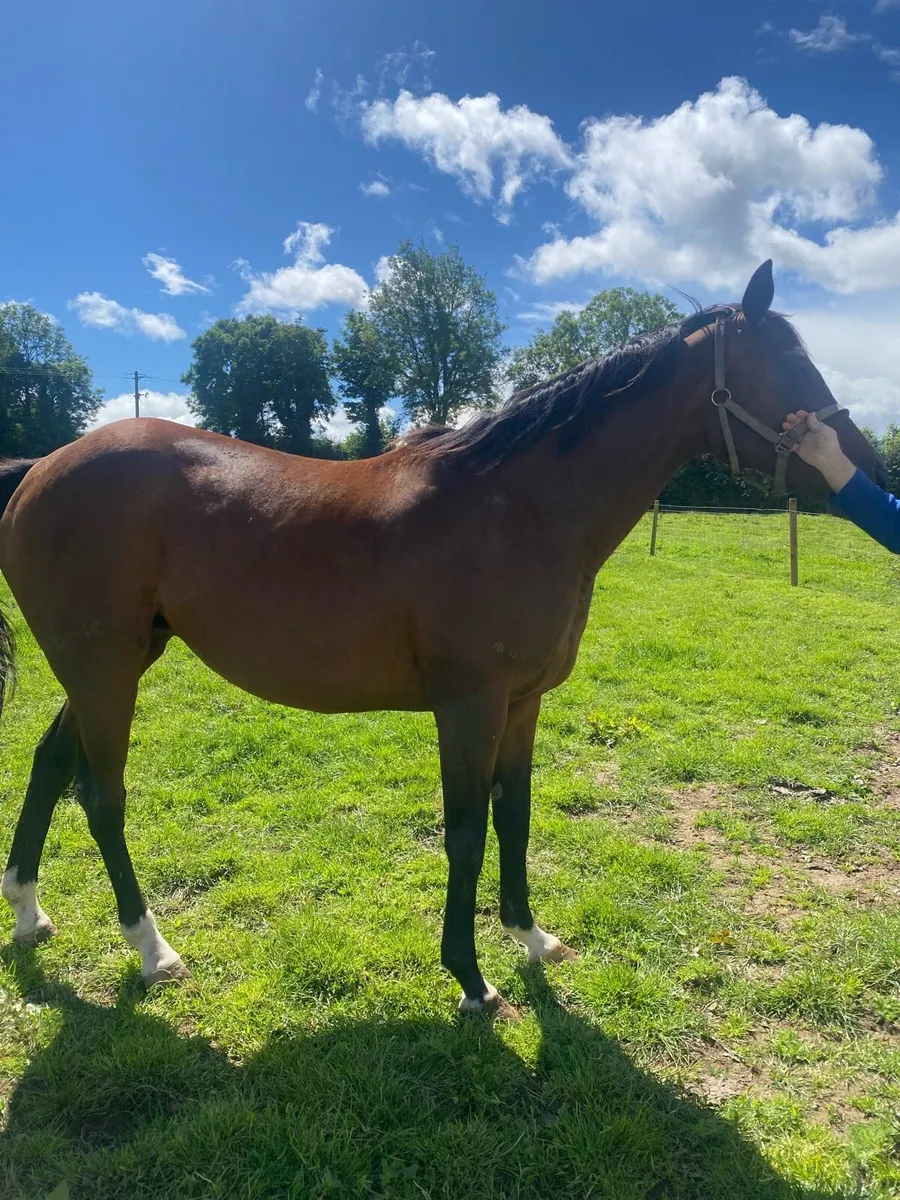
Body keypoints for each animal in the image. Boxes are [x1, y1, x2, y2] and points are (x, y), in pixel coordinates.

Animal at [0, 261, 885, 1019]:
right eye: (789, 367)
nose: (868, 466)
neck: (516, 508)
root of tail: (41, 467)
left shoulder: (521, 704)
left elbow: (514, 816)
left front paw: (531, 937)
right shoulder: (469, 706)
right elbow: (464, 835)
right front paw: (471, 979)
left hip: (112, 664)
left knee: (49, 764)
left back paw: (28, 914)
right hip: (105, 669)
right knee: (101, 797)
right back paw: (152, 951)